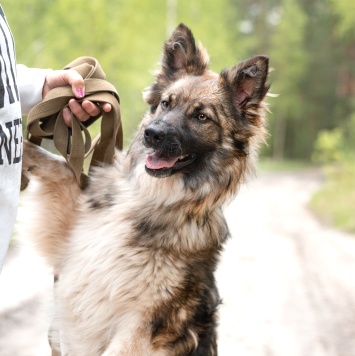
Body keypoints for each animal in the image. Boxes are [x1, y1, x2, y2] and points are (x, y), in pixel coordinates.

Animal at [22, 23, 272, 354]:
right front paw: (22, 147)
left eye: (201, 117)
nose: (152, 134)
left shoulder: (138, 325)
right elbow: (62, 168)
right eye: (166, 103)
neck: (151, 197)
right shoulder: (68, 247)